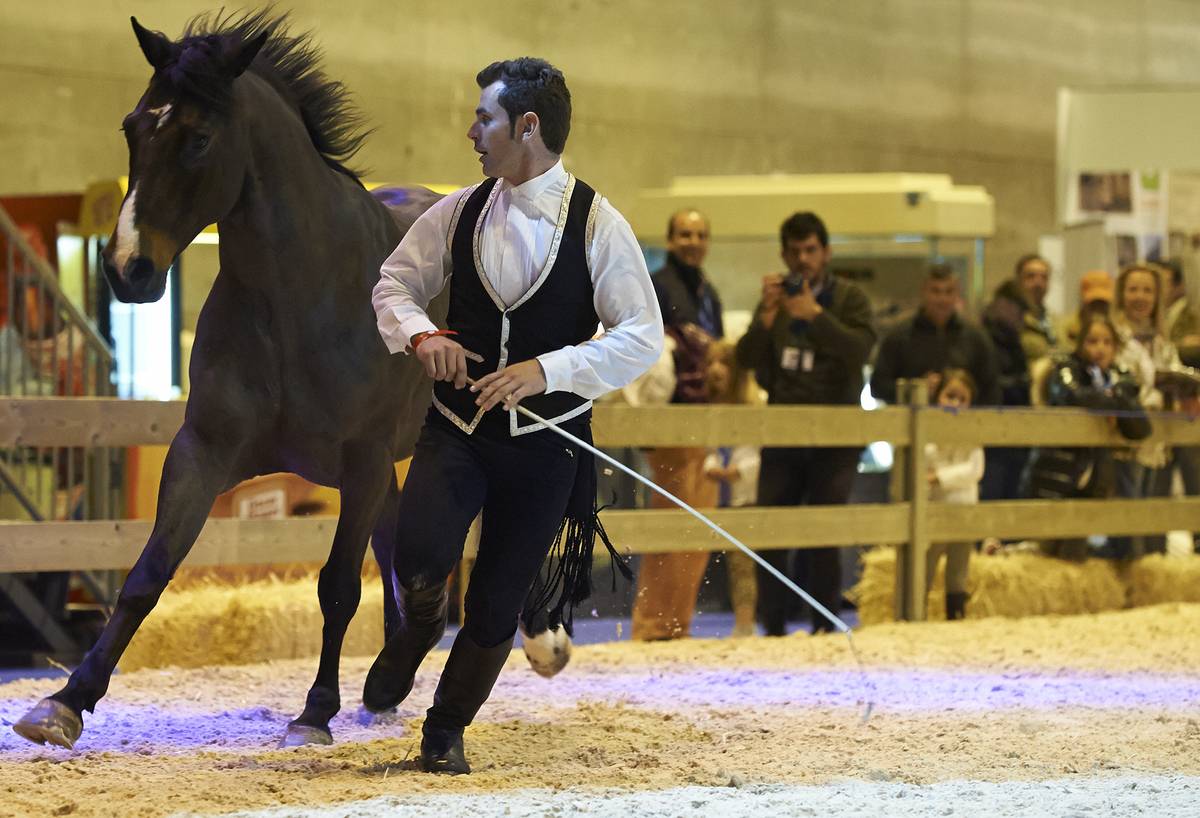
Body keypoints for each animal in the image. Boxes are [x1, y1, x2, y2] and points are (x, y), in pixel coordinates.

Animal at [13, 11, 569, 751]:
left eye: (198, 138)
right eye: (133, 127)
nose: (128, 270)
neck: (297, 300)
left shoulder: (360, 464)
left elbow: (337, 587)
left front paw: (314, 711)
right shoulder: (203, 452)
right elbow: (147, 573)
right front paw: (66, 701)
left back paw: (538, 643)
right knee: (407, 569)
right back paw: (387, 685)